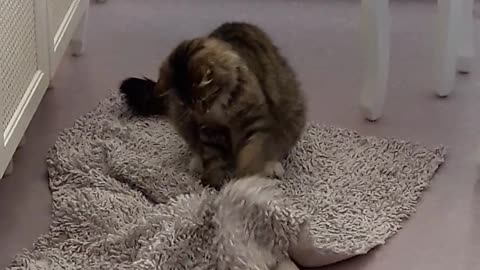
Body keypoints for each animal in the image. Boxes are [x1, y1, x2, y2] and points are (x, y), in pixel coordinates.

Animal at [122, 22, 306, 188]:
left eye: (202, 100)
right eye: (188, 104)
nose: (200, 112)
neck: (222, 106)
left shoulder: (254, 122)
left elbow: (251, 153)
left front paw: (244, 180)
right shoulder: (210, 128)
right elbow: (213, 157)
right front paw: (211, 184)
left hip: (293, 116)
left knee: (277, 147)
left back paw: (272, 166)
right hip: (181, 120)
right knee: (197, 146)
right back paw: (197, 163)